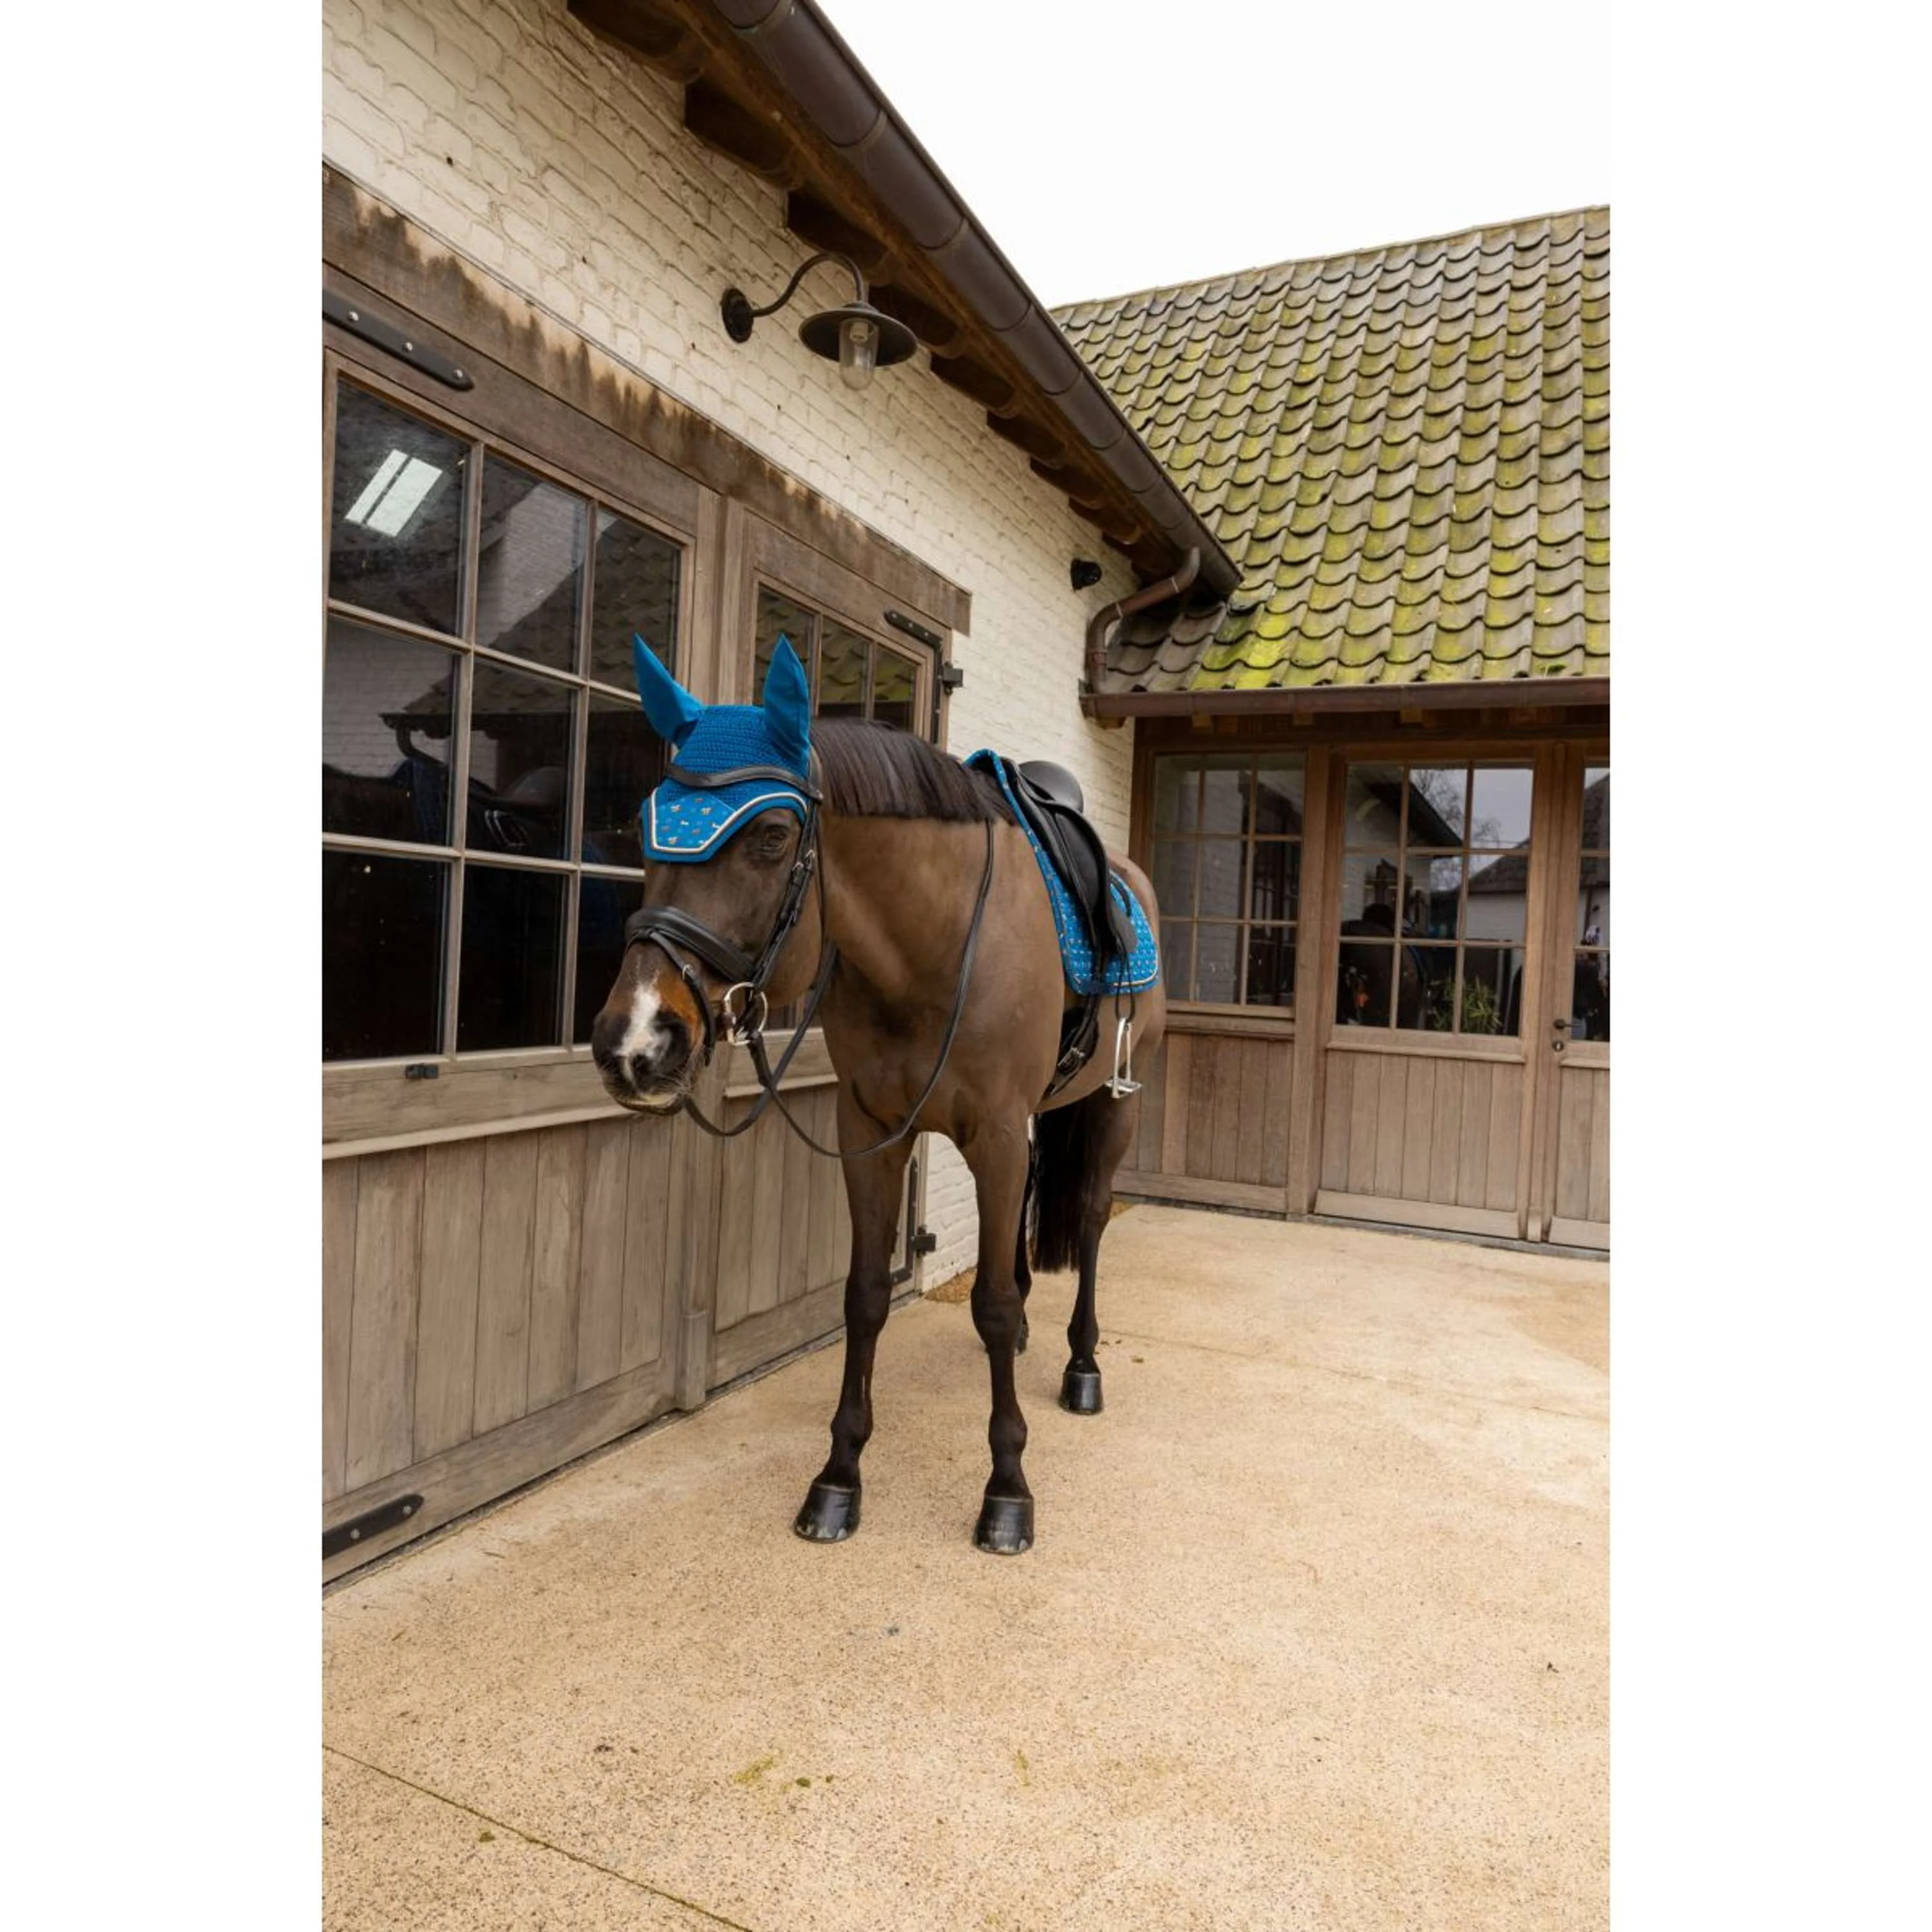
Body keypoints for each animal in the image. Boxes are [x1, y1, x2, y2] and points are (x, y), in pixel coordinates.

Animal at [589, 636, 1166, 1555]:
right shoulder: (870, 1128)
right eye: (646, 825)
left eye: (773, 835)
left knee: (1092, 1217)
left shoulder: (994, 1135)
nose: (635, 1041)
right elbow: (864, 1297)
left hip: (1117, 1102)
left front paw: (1008, 1489)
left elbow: (990, 1302)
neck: (935, 944)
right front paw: (839, 1476)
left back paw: (1082, 1365)